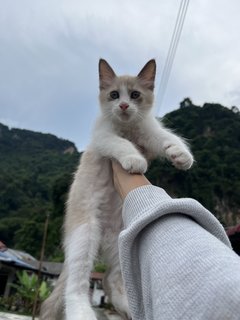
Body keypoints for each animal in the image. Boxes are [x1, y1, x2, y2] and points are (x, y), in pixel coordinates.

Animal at [39, 58, 193, 318]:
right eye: (113, 95)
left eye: (135, 95)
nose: (122, 105)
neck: (127, 128)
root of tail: (103, 234)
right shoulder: (102, 138)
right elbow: (120, 143)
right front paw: (134, 159)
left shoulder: (149, 133)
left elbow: (166, 137)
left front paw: (181, 155)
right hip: (85, 232)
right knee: (76, 284)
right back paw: (83, 312)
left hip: (125, 239)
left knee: (110, 280)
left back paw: (128, 308)